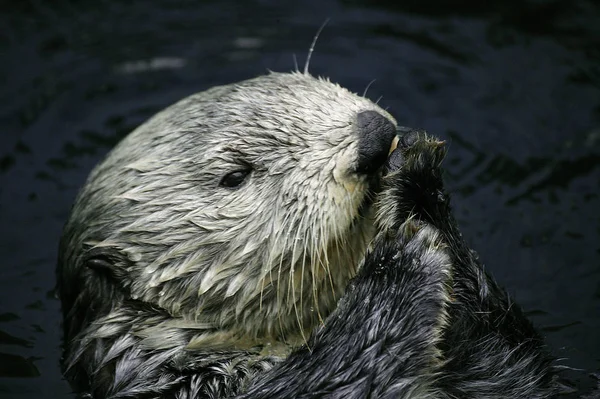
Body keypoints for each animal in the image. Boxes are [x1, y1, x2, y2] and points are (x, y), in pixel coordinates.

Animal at [58, 72, 556, 399]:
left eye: (322, 88)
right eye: (235, 175)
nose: (374, 136)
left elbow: (513, 372)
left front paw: (417, 180)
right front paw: (399, 268)